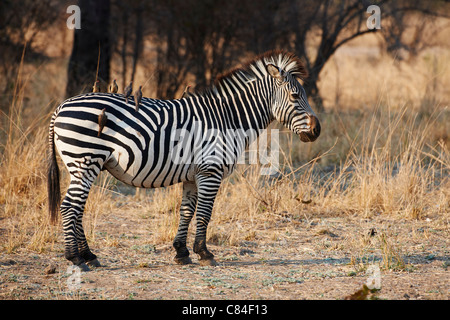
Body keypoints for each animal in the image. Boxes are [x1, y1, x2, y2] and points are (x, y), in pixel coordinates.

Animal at [48, 50, 320, 270]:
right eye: (295, 96)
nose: (317, 130)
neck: (227, 119)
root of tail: (61, 106)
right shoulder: (211, 171)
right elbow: (205, 213)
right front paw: (205, 253)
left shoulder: (193, 174)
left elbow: (187, 211)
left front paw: (182, 252)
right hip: (85, 161)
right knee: (69, 206)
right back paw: (75, 258)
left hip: (82, 166)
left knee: (78, 207)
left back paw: (89, 255)